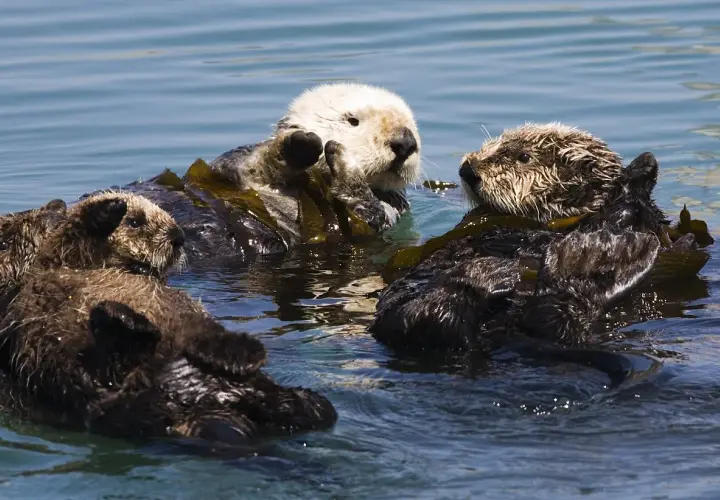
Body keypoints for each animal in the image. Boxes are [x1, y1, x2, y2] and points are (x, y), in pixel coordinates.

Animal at [116, 82, 421, 261]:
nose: (405, 142)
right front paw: (300, 145)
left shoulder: (389, 210)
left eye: (412, 123)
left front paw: (346, 165)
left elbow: (365, 214)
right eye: (352, 120)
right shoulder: (232, 166)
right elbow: (251, 162)